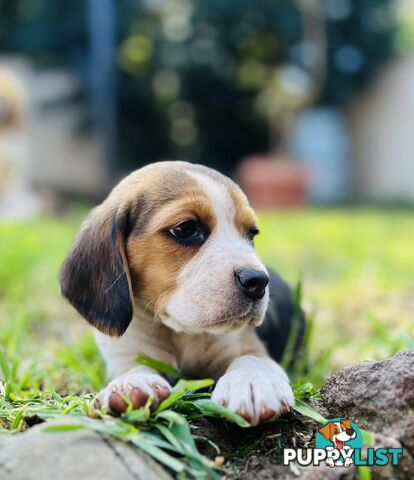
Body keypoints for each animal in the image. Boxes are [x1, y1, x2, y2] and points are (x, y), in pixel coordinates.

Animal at [59, 162, 302, 428]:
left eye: (252, 233)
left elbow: (251, 359)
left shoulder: (247, 344)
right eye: (185, 229)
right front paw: (132, 384)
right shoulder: (126, 354)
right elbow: (134, 369)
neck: (179, 332)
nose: (258, 281)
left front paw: (251, 382)